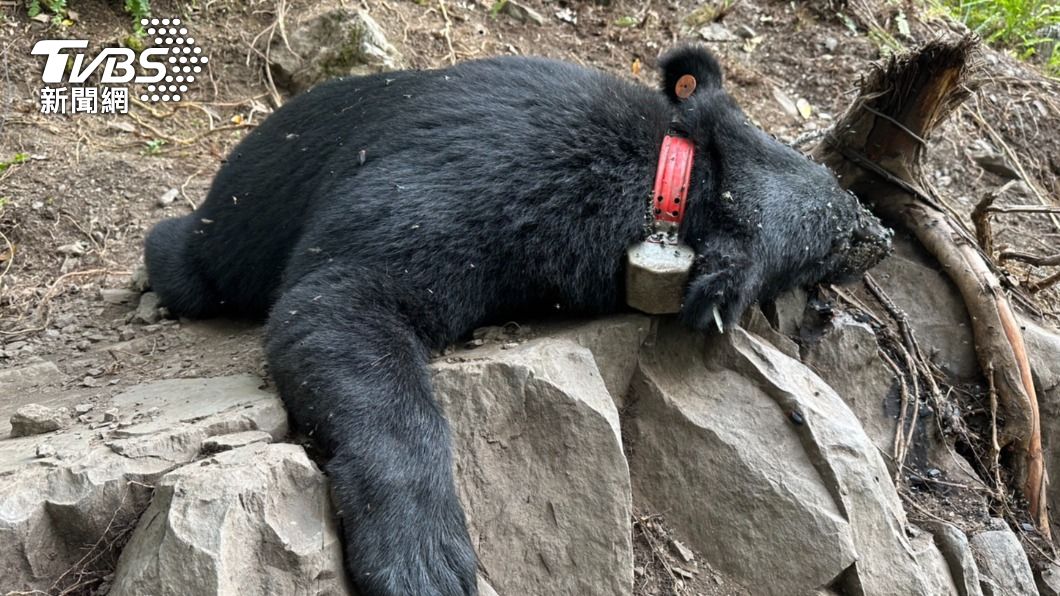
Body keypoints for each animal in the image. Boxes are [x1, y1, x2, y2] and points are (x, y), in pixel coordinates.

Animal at [144, 46, 892, 595]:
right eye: (841, 229)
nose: (882, 231)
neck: (666, 181)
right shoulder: (477, 185)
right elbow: (339, 301)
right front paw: (425, 560)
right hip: (237, 224)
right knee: (196, 262)